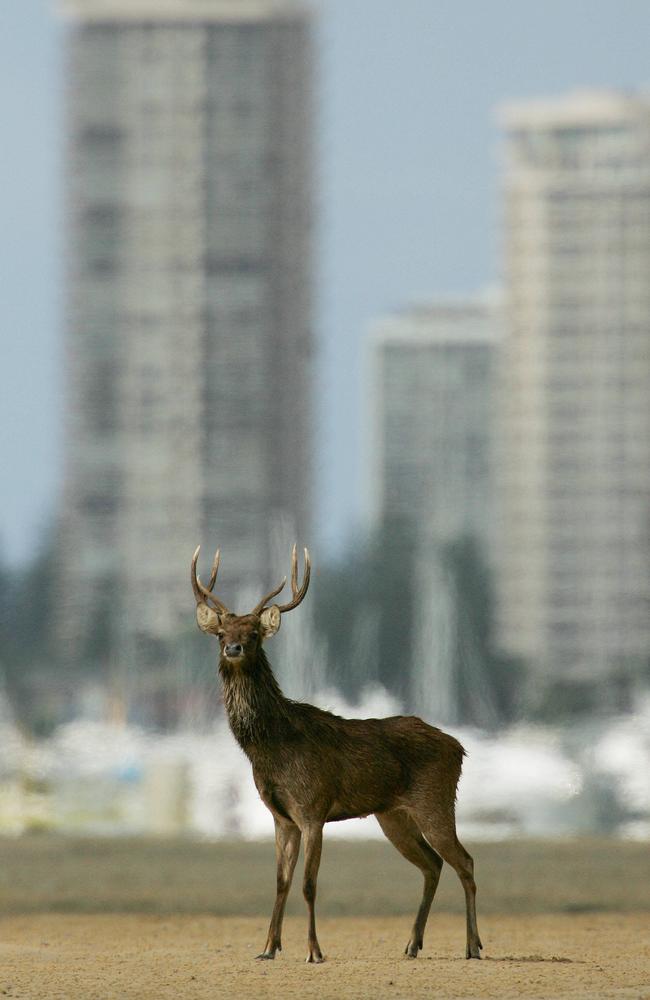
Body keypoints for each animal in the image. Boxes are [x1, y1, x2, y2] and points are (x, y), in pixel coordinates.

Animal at [190, 544, 478, 964]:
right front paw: (268, 948)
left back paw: (473, 945)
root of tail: (459, 747)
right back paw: (412, 944)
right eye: (221, 633)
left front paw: (314, 951)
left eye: (255, 633)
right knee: (433, 864)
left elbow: (308, 884)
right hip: (392, 815)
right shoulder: (282, 817)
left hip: (435, 799)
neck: (271, 750)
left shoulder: (313, 808)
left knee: (465, 861)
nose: (233, 648)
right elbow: (281, 882)